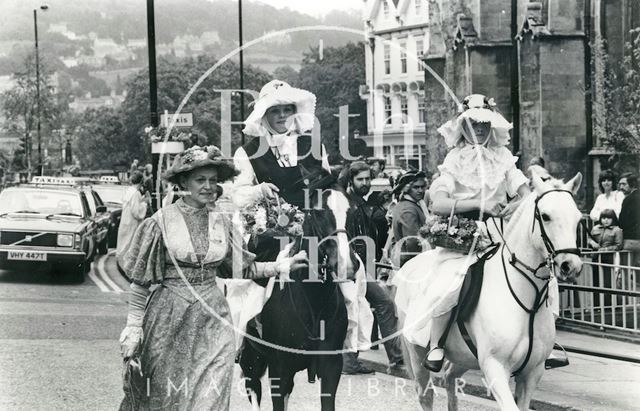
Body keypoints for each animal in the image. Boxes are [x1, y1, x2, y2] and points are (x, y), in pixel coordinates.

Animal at [240, 175, 360, 411]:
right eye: (317, 212)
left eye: (352, 210)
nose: (346, 265)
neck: (314, 302)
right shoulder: (279, 369)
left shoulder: (331, 368)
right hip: (251, 356)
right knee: (253, 389)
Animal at [400, 172, 584, 410]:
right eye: (545, 216)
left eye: (578, 218)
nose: (571, 266)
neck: (528, 302)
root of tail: (409, 265)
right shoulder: (495, 369)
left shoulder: (532, 373)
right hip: (417, 352)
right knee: (426, 394)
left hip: (464, 356)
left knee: (450, 378)